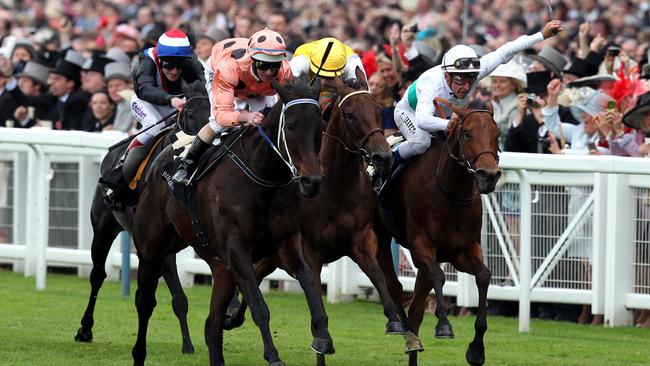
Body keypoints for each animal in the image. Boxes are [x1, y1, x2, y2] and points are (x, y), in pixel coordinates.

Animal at [74, 81, 209, 354]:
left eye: (212, 112)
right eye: (190, 114)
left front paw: (190, 342)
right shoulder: (155, 242)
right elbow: (174, 295)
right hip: (104, 229)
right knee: (97, 275)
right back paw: (85, 329)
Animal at [130, 77, 322, 366]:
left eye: (320, 126)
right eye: (289, 126)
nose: (311, 182)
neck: (263, 178)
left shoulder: (283, 244)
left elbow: (309, 280)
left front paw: (323, 336)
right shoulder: (237, 250)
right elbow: (258, 305)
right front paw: (273, 356)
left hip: (218, 265)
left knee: (211, 325)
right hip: (151, 250)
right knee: (145, 302)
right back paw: (138, 354)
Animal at [224, 69, 426, 364]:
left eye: (378, 110)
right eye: (350, 115)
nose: (383, 157)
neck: (335, 187)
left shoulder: (360, 239)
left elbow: (378, 277)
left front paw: (395, 322)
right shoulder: (310, 250)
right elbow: (317, 302)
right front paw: (321, 341)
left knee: (258, 273)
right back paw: (231, 314)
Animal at [372, 99, 498, 366]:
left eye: (497, 134)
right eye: (467, 133)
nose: (489, 176)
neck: (452, 191)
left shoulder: (463, 252)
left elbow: (484, 276)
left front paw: (476, 349)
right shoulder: (421, 247)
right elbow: (440, 276)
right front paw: (443, 326)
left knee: (416, 309)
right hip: (379, 238)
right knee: (394, 286)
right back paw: (402, 330)